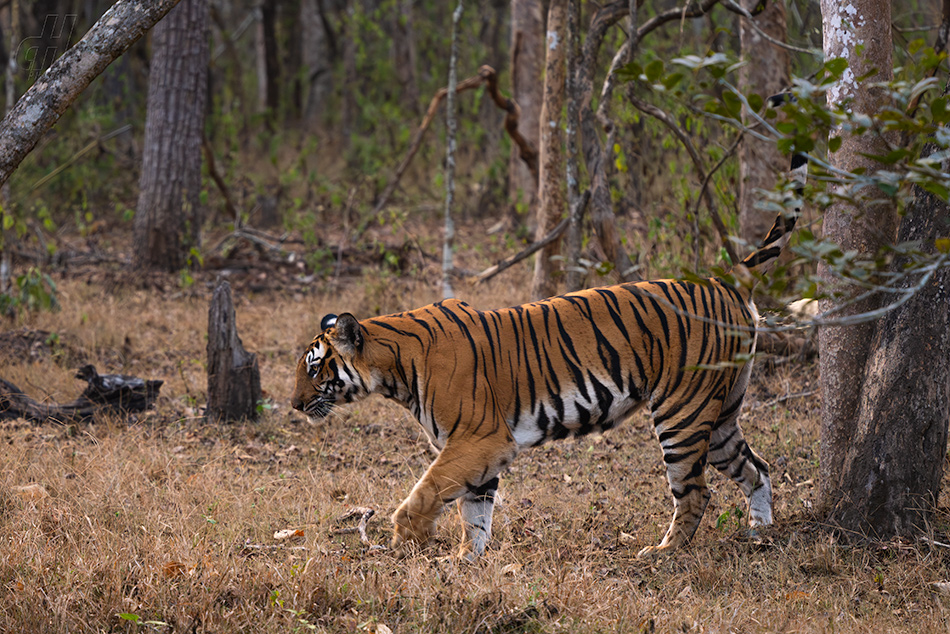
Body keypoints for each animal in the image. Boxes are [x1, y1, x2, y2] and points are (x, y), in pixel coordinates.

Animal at [292, 168, 804, 556]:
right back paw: (760, 533)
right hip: (720, 416)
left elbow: (428, 490)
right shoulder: (481, 451)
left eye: (315, 368)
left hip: (683, 412)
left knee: (696, 491)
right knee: (757, 468)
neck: (393, 365)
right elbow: (475, 512)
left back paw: (663, 554)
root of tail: (724, 279)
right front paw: (465, 561)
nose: (295, 405)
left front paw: (409, 538)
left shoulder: (477, 438)